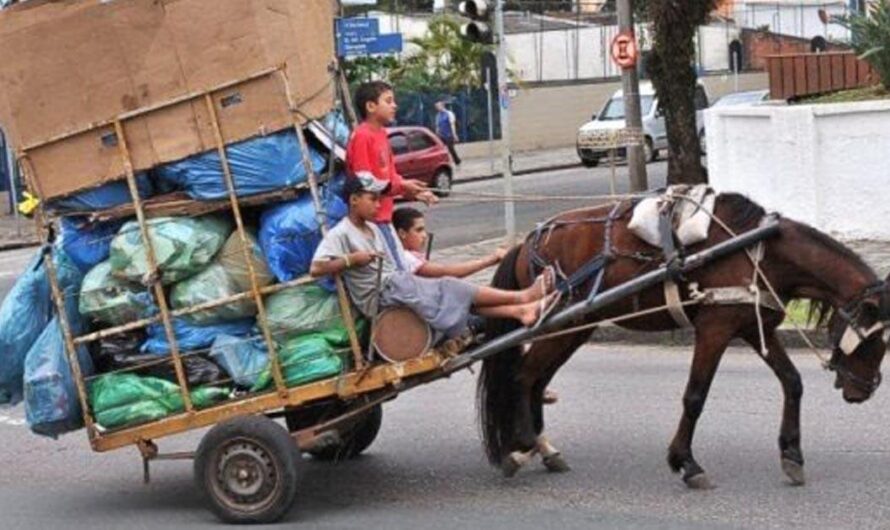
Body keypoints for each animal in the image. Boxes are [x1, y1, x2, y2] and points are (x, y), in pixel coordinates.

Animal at [478, 190, 888, 486]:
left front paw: (791, 455)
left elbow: (792, 382)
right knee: (524, 376)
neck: (761, 251)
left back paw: (540, 448)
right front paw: (686, 463)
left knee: (537, 379)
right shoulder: (715, 329)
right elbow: (695, 396)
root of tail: (526, 242)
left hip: (575, 327)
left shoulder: (753, 327)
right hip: (559, 325)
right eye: (875, 341)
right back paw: (522, 445)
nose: (862, 391)